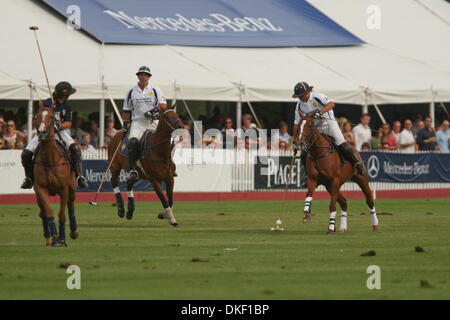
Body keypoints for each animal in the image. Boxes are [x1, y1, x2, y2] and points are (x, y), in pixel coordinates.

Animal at [33, 105, 78, 245]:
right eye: (37, 116)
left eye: (52, 117)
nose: (41, 132)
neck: (50, 160)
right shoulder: (41, 189)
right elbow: (49, 212)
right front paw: (54, 237)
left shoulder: (64, 189)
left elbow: (62, 214)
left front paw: (62, 239)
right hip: (37, 195)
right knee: (43, 213)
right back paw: (48, 239)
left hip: (72, 187)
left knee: (71, 206)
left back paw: (74, 232)